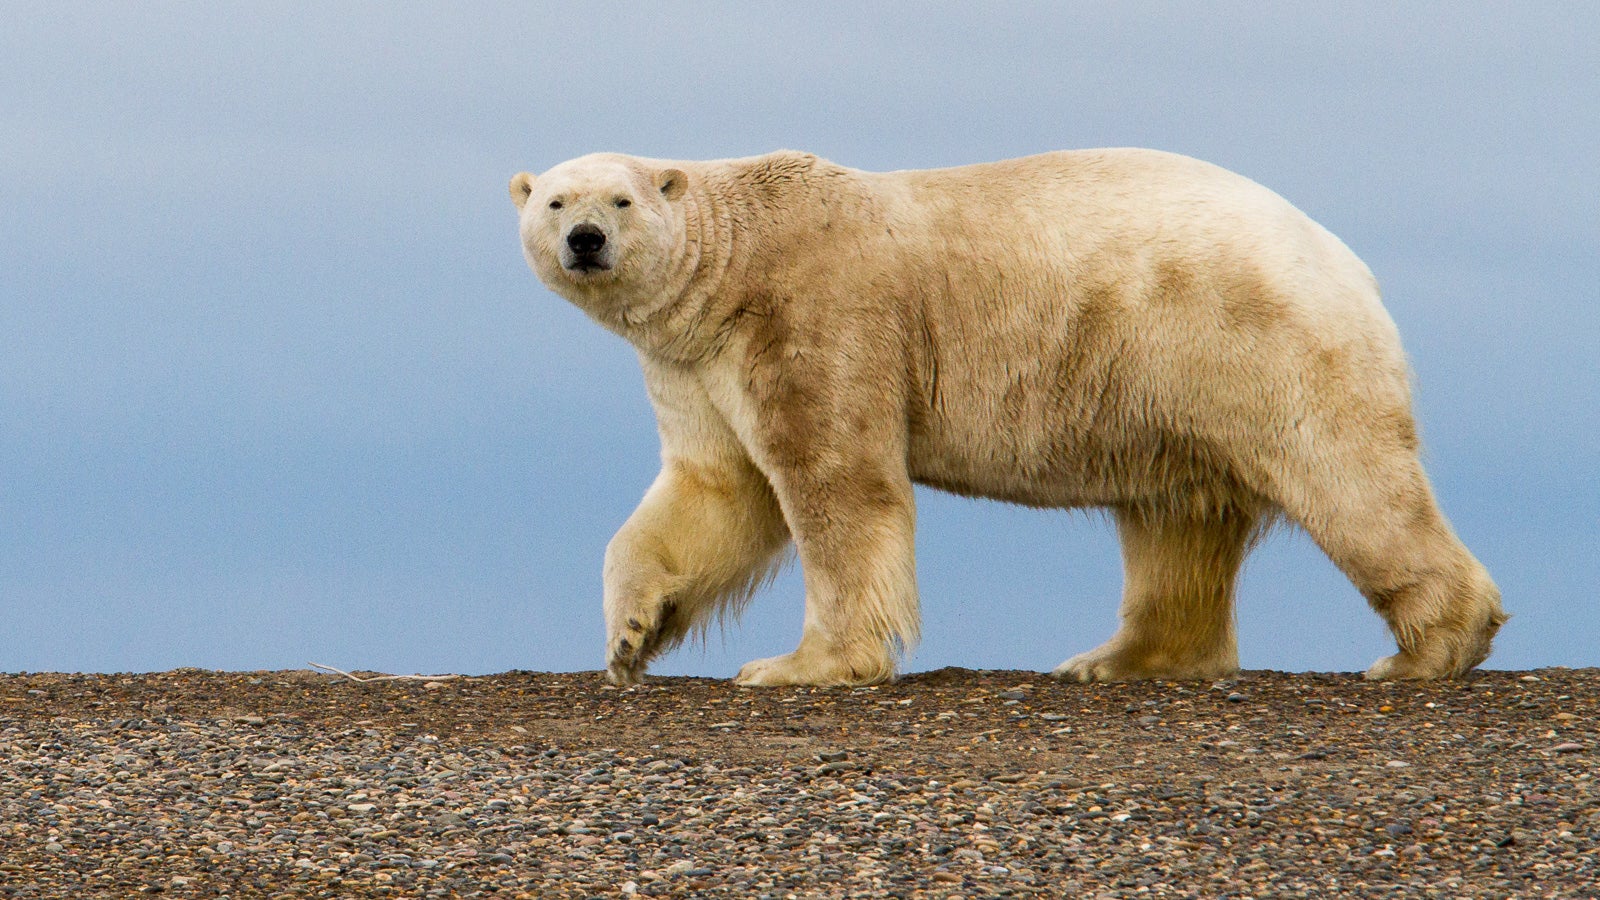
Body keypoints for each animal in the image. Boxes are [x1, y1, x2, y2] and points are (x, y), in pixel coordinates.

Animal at [509, 148, 1506, 687]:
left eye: (621, 198)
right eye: (556, 199)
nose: (585, 241)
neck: (735, 265)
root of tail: (1348, 261)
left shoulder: (818, 314)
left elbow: (836, 486)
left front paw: (802, 665)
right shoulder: (696, 365)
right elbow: (719, 490)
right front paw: (630, 638)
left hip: (1256, 346)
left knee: (1349, 481)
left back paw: (1427, 650)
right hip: (1173, 382)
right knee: (1177, 521)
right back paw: (1119, 656)